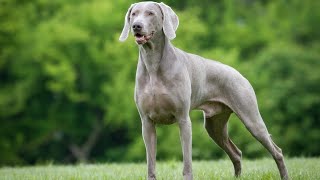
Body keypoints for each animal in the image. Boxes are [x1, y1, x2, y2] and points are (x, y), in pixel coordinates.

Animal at [119, 1, 288, 180]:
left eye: (150, 13)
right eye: (134, 14)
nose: (136, 26)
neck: (152, 64)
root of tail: (239, 74)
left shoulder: (183, 119)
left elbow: (187, 160)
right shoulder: (147, 122)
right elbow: (150, 161)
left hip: (251, 118)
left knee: (276, 151)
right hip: (214, 125)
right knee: (236, 153)